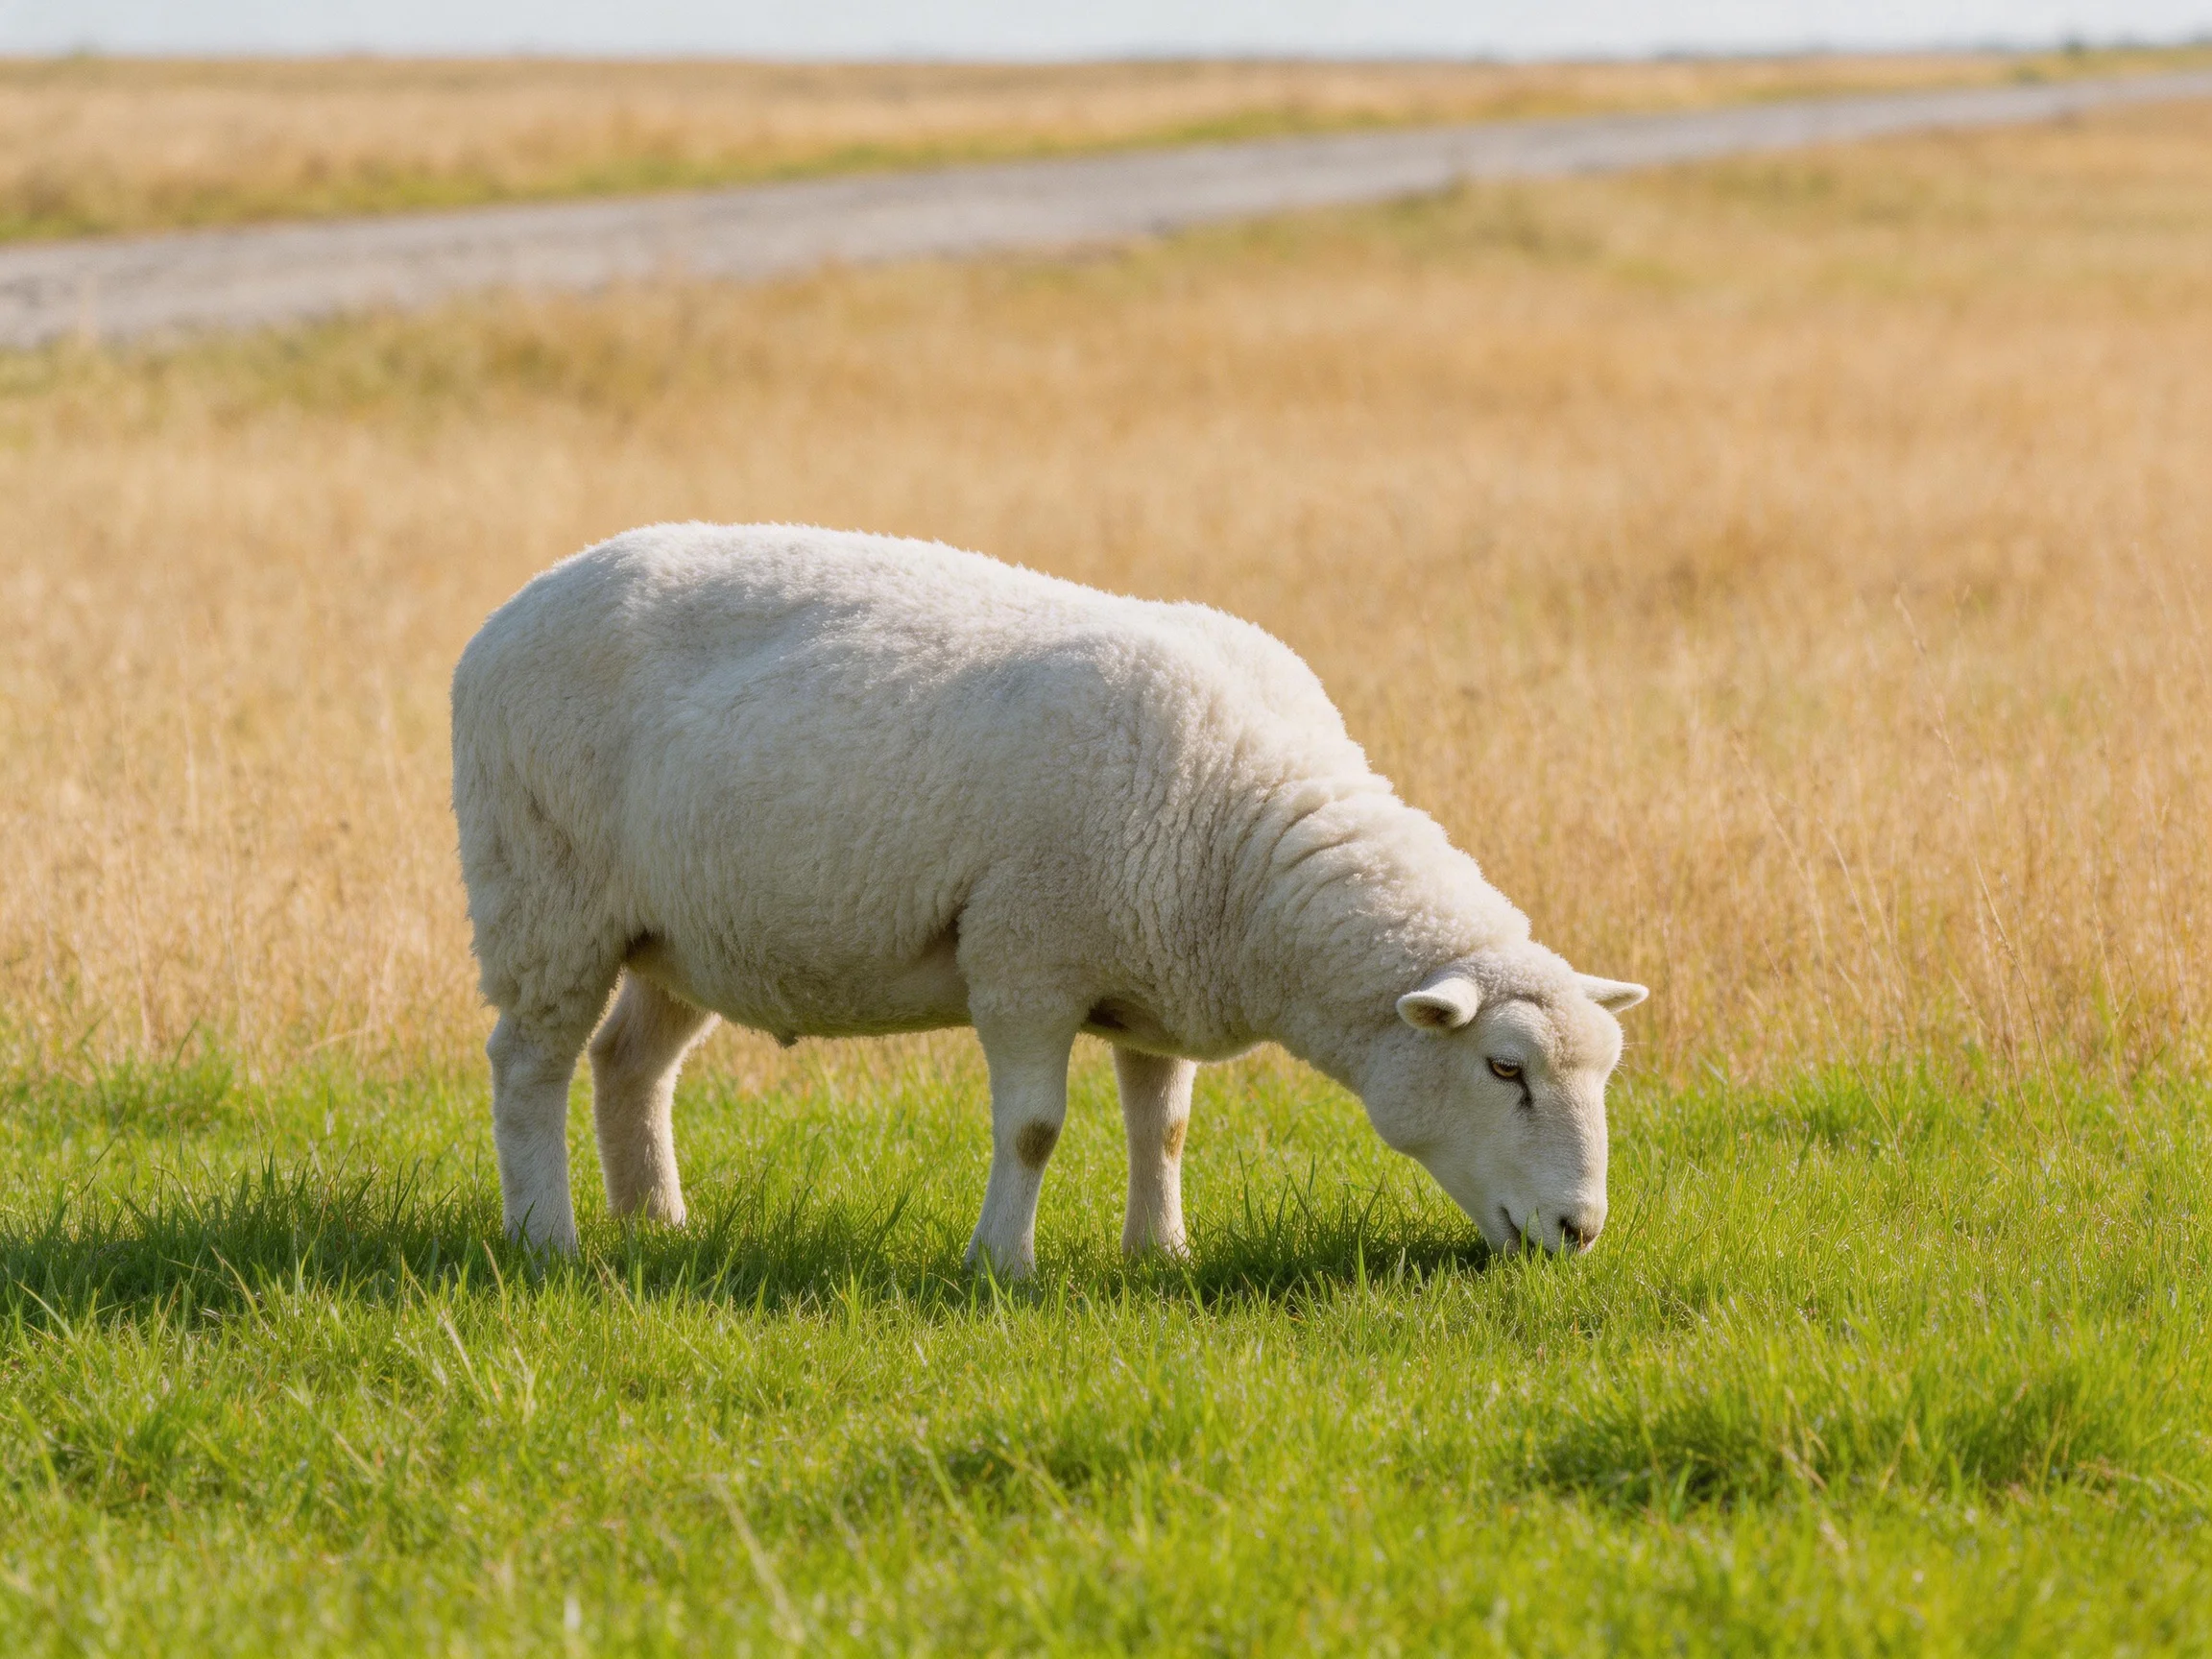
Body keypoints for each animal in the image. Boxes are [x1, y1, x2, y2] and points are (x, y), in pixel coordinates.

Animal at [451, 523, 1647, 1273]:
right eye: (1505, 1069)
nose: (1580, 1230)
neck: (1244, 839)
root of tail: (513, 606)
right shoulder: (1027, 957)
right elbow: (1032, 1130)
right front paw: (1000, 1266)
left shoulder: (1156, 975)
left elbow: (1163, 1127)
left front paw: (1161, 1251)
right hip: (544, 890)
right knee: (529, 1066)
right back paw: (547, 1238)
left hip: (680, 927)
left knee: (628, 1067)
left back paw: (656, 1227)